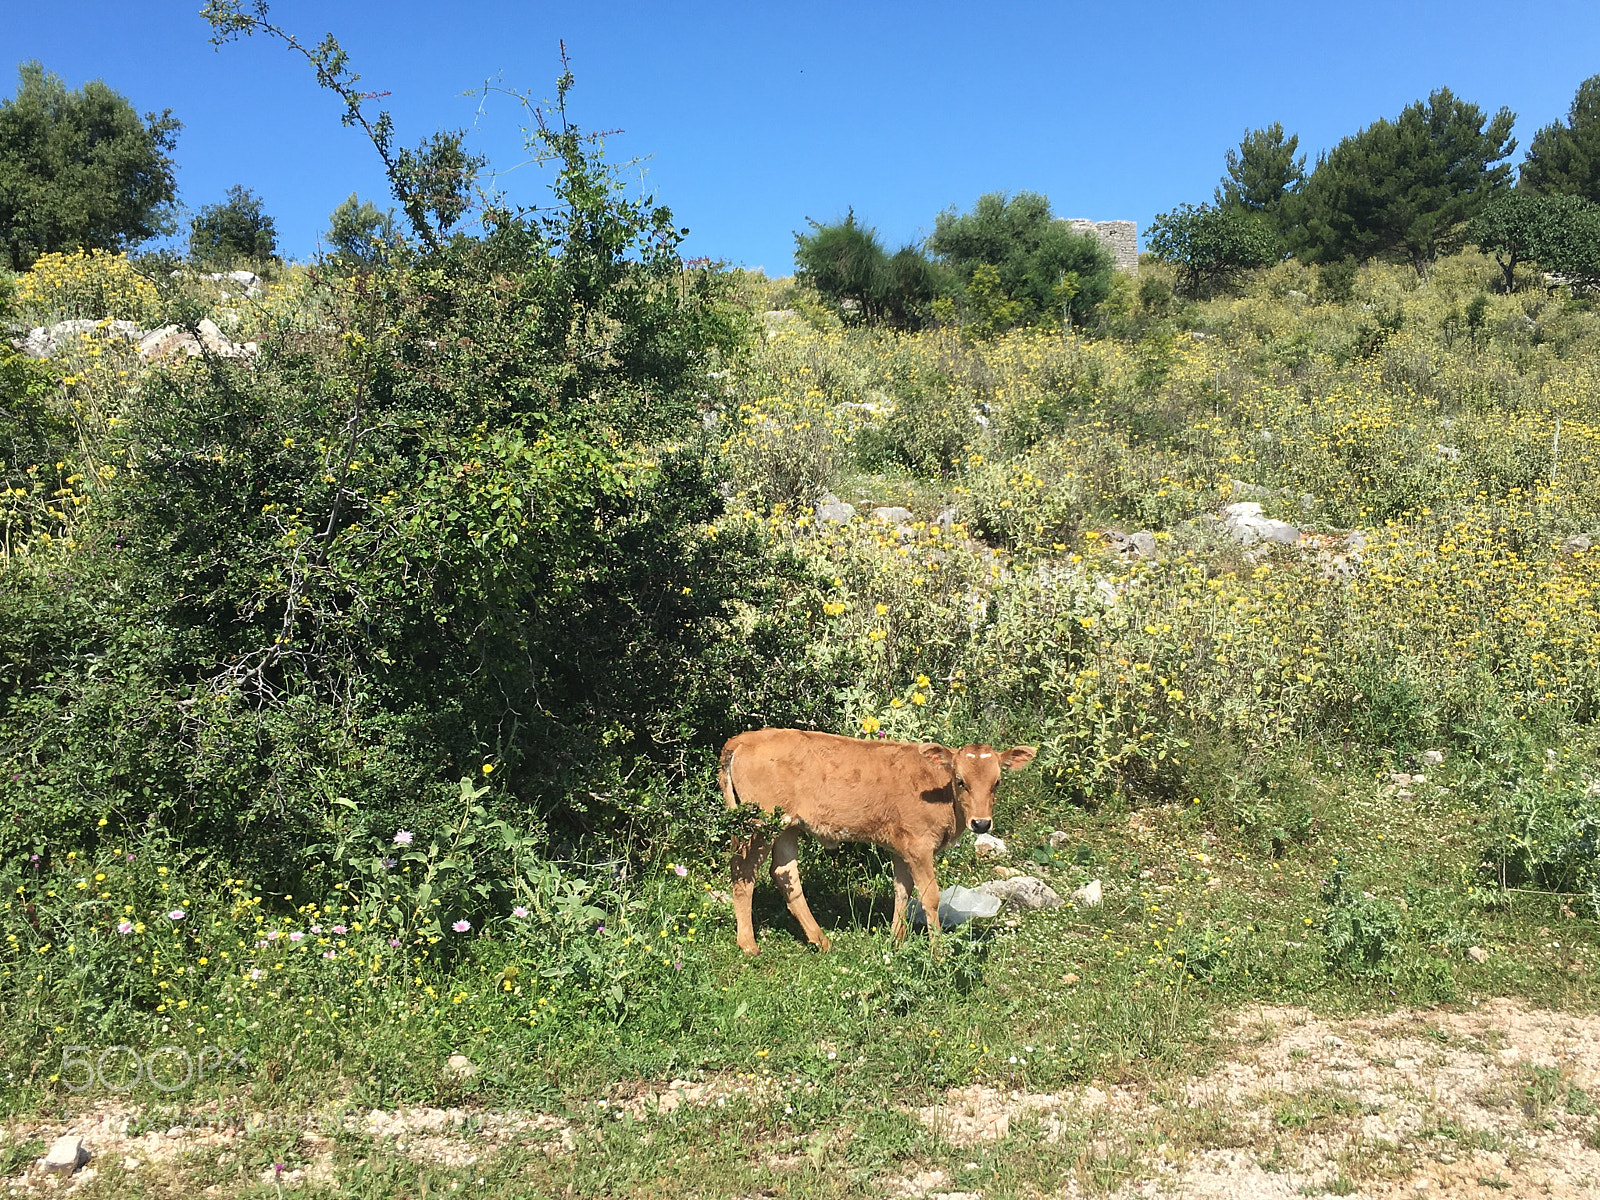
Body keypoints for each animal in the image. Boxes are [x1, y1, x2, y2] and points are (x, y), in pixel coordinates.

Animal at [717, 728, 1036, 953]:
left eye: (997, 782)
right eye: (960, 780)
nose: (981, 823)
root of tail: (743, 738)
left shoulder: (902, 846)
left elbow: (902, 891)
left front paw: (896, 941)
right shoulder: (919, 845)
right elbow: (929, 897)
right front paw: (938, 953)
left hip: (787, 826)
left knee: (785, 874)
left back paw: (821, 940)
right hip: (760, 822)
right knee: (743, 871)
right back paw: (748, 944)